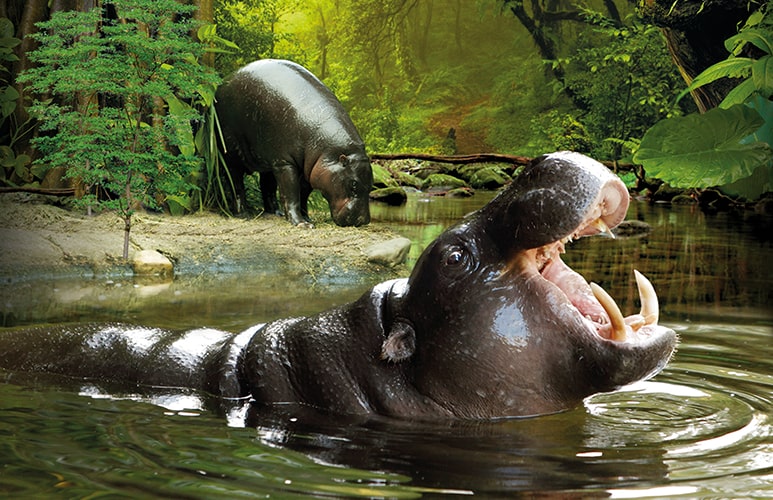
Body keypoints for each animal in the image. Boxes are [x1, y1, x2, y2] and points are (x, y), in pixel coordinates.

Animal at [216, 59, 372, 229]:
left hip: (269, 161)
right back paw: (243, 214)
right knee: (236, 184)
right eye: (354, 184)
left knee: (267, 186)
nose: (363, 221)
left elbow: (302, 194)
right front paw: (302, 224)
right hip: (232, 156)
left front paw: (308, 219)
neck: (328, 150)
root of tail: (223, 83)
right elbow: (290, 193)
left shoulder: (309, 168)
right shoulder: (286, 163)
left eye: (372, 184)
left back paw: (275, 212)